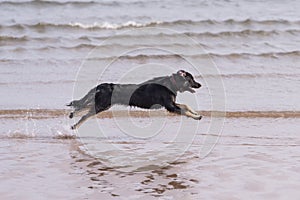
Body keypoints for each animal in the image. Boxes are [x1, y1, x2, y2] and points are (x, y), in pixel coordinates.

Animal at [68, 70, 202, 130]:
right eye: (192, 79)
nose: (200, 84)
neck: (171, 84)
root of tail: (103, 85)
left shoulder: (171, 104)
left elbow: (186, 106)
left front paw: (196, 113)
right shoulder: (170, 106)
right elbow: (185, 111)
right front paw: (196, 117)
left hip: (102, 103)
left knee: (84, 109)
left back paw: (72, 116)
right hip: (103, 105)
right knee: (85, 114)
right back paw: (74, 125)